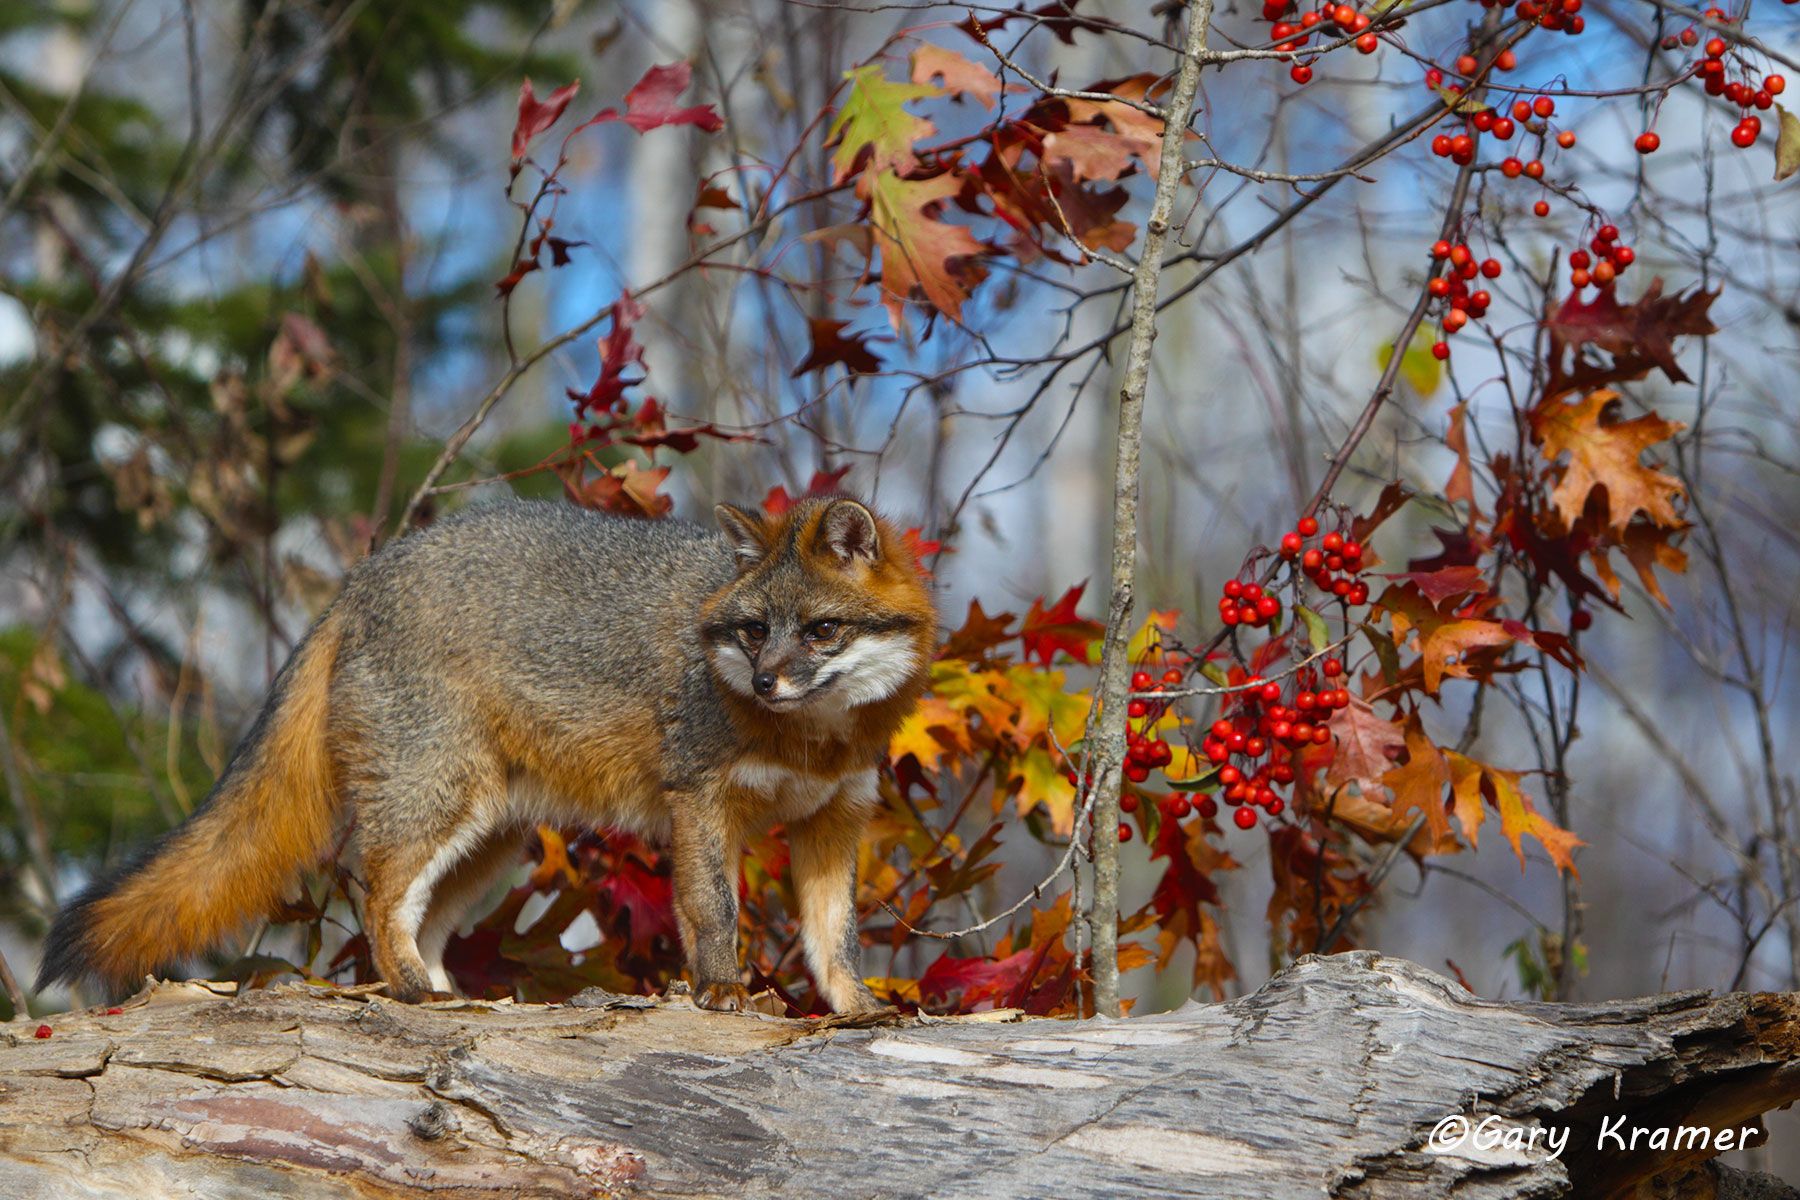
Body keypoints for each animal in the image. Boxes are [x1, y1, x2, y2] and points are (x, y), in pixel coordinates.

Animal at [36, 495, 937, 1013]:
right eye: (753, 631)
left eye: (820, 631)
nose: (765, 681)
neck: (814, 739)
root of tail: (368, 571)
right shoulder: (703, 803)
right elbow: (714, 913)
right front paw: (719, 992)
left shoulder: (836, 819)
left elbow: (835, 938)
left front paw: (857, 1009)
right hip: (439, 805)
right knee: (378, 899)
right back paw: (409, 992)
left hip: (487, 845)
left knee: (423, 923)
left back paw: (452, 994)